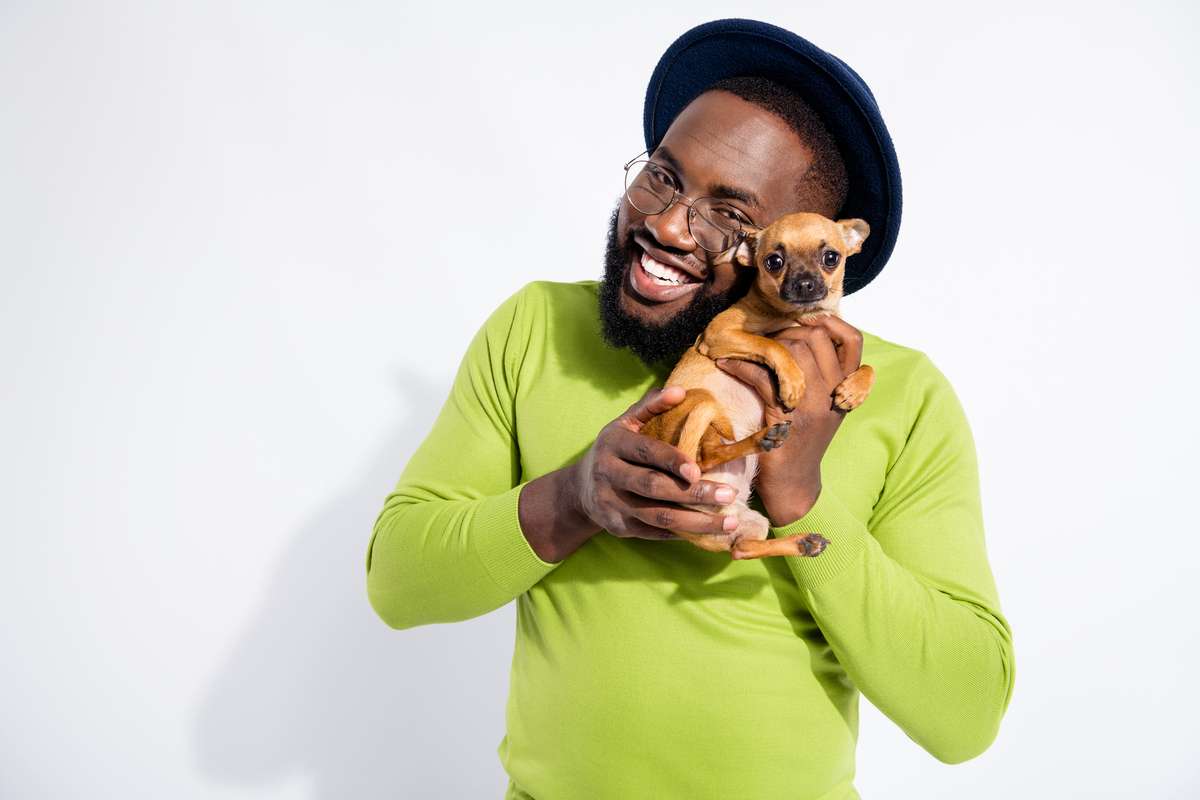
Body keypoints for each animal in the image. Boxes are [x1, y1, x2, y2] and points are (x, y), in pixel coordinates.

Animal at [648, 212, 873, 563]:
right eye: (774, 262)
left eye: (831, 258)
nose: (805, 283)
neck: (801, 317)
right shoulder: (721, 333)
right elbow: (771, 344)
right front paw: (794, 382)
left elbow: (868, 365)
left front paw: (854, 390)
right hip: (703, 405)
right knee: (708, 455)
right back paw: (763, 438)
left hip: (748, 522)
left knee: (743, 549)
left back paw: (802, 543)